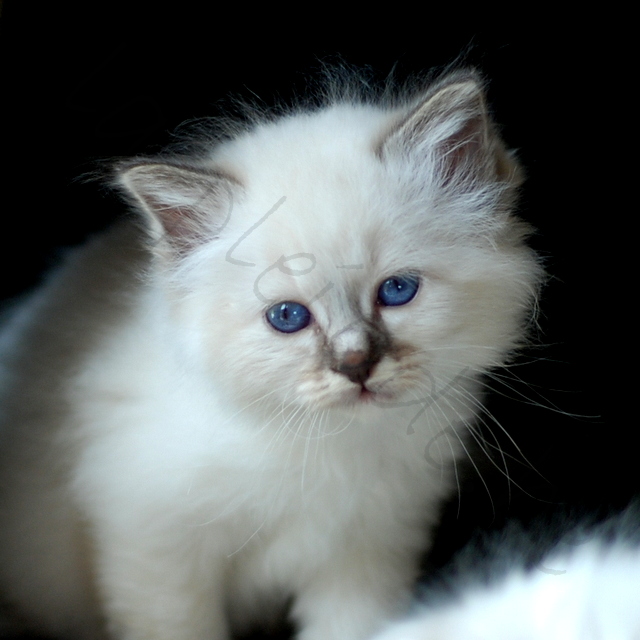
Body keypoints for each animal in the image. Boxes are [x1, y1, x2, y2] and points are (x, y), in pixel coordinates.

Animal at [0, 67, 540, 636]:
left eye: (396, 291)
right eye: (287, 317)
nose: (356, 366)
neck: (326, 448)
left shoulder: (367, 554)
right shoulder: (156, 552)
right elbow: (180, 625)